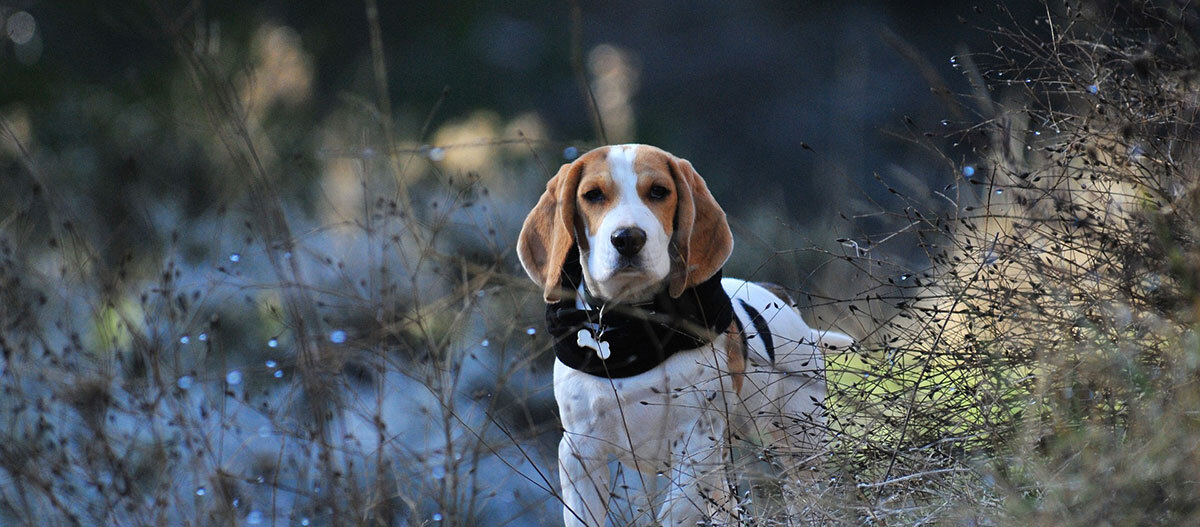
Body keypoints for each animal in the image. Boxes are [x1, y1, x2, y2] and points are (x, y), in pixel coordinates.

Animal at [518, 142, 854, 525]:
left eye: (659, 191)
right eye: (593, 195)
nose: (628, 239)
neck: (632, 330)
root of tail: (781, 297)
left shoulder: (696, 442)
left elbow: (673, 512)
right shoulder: (580, 455)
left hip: (800, 442)